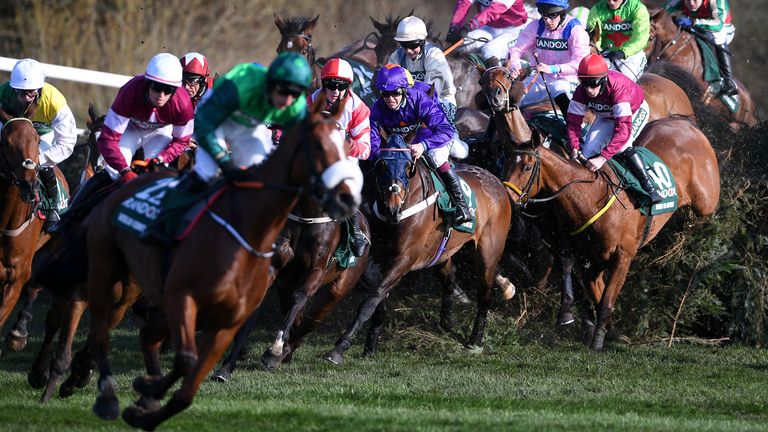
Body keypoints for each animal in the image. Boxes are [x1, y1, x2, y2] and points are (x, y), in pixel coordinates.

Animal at [69, 93, 360, 430]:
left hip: (339, 286)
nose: (98, 175)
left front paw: (272, 350)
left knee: (316, 313)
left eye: (344, 145)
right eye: (88, 145)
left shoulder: (311, 269)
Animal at [320, 129, 512, 364]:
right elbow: (378, 299)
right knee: (450, 275)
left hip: (488, 251)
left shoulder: (404, 258)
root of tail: (497, 182)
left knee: (484, 292)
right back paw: (448, 321)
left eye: (407, 166)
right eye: (381, 164)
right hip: (442, 251)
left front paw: (340, 347)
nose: (392, 207)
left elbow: (373, 298)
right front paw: (370, 346)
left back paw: (475, 341)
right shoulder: (375, 258)